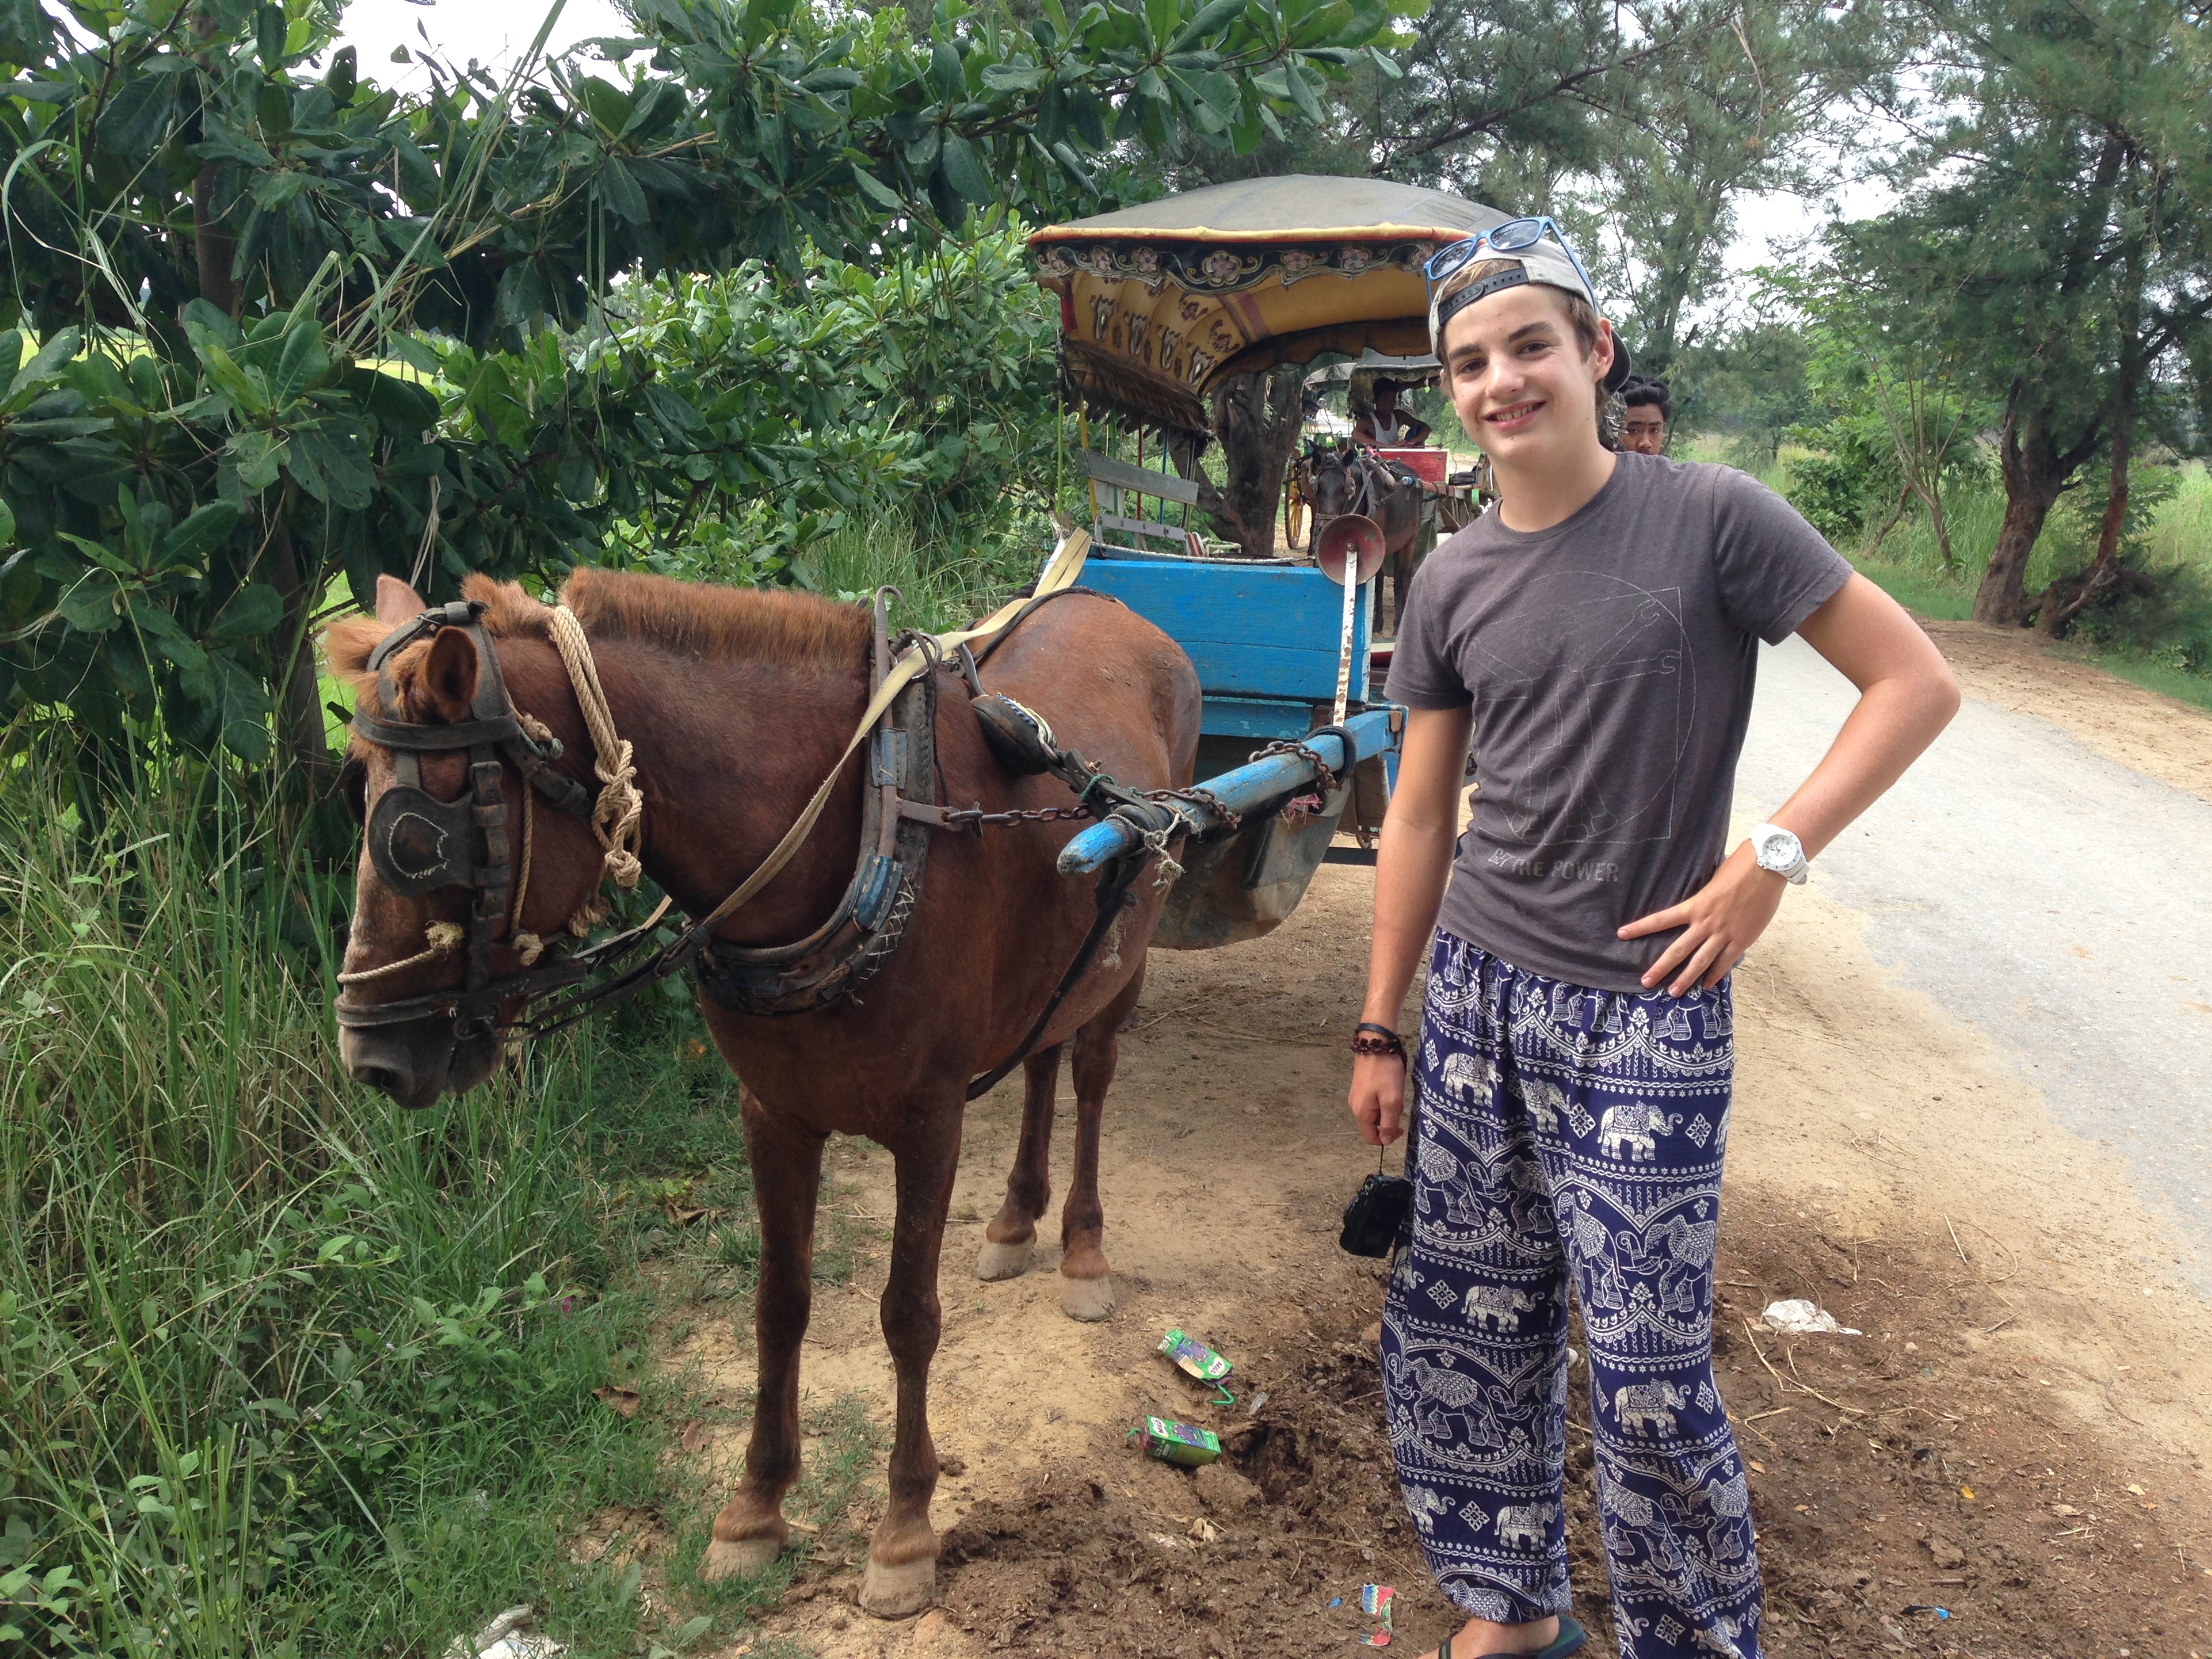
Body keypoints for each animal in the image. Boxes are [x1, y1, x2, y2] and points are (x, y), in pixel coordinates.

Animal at [324, 567, 1201, 1617]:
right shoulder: (772, 1116)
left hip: (1130, 948)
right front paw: (754, 1510)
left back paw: (1080, 1247)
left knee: (1093, 1076)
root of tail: (1115, 607)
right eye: (355, 795)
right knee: (1039, 1060)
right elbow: (778, 1304)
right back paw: (1015, 1218)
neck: (862, 830)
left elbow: (909, 1315)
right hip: (1055, 966)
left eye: (416, 838)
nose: (371, 1056)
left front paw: (905, 1530)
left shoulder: (930, 1122)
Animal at [1303, 443, 1428, 622]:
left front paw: (1378, 623)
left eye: (1345, 489)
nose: (1325, 527)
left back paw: (1399, 620)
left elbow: (1379, 583)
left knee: (1402, 578)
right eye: (1318, 487)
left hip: (1410, 540)